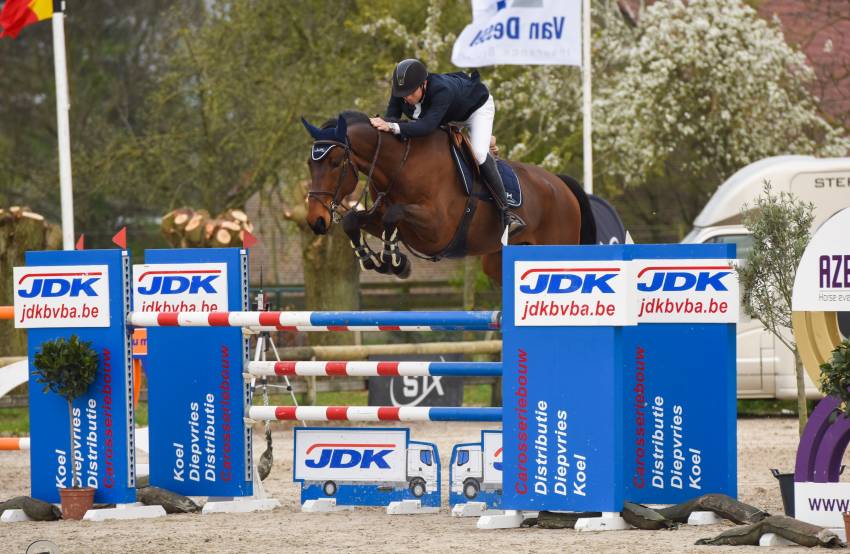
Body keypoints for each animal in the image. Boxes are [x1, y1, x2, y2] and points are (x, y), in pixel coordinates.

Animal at [301, 111, 596, 284]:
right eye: (309, 164)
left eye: (336, 163)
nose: (316, 220)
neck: (400, 165)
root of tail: (561, 184)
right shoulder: (383, 215)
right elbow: (354, 220)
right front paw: (375, 260)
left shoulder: (437, 229)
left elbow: (393, 215)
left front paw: (394, 261)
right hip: (497, 260)